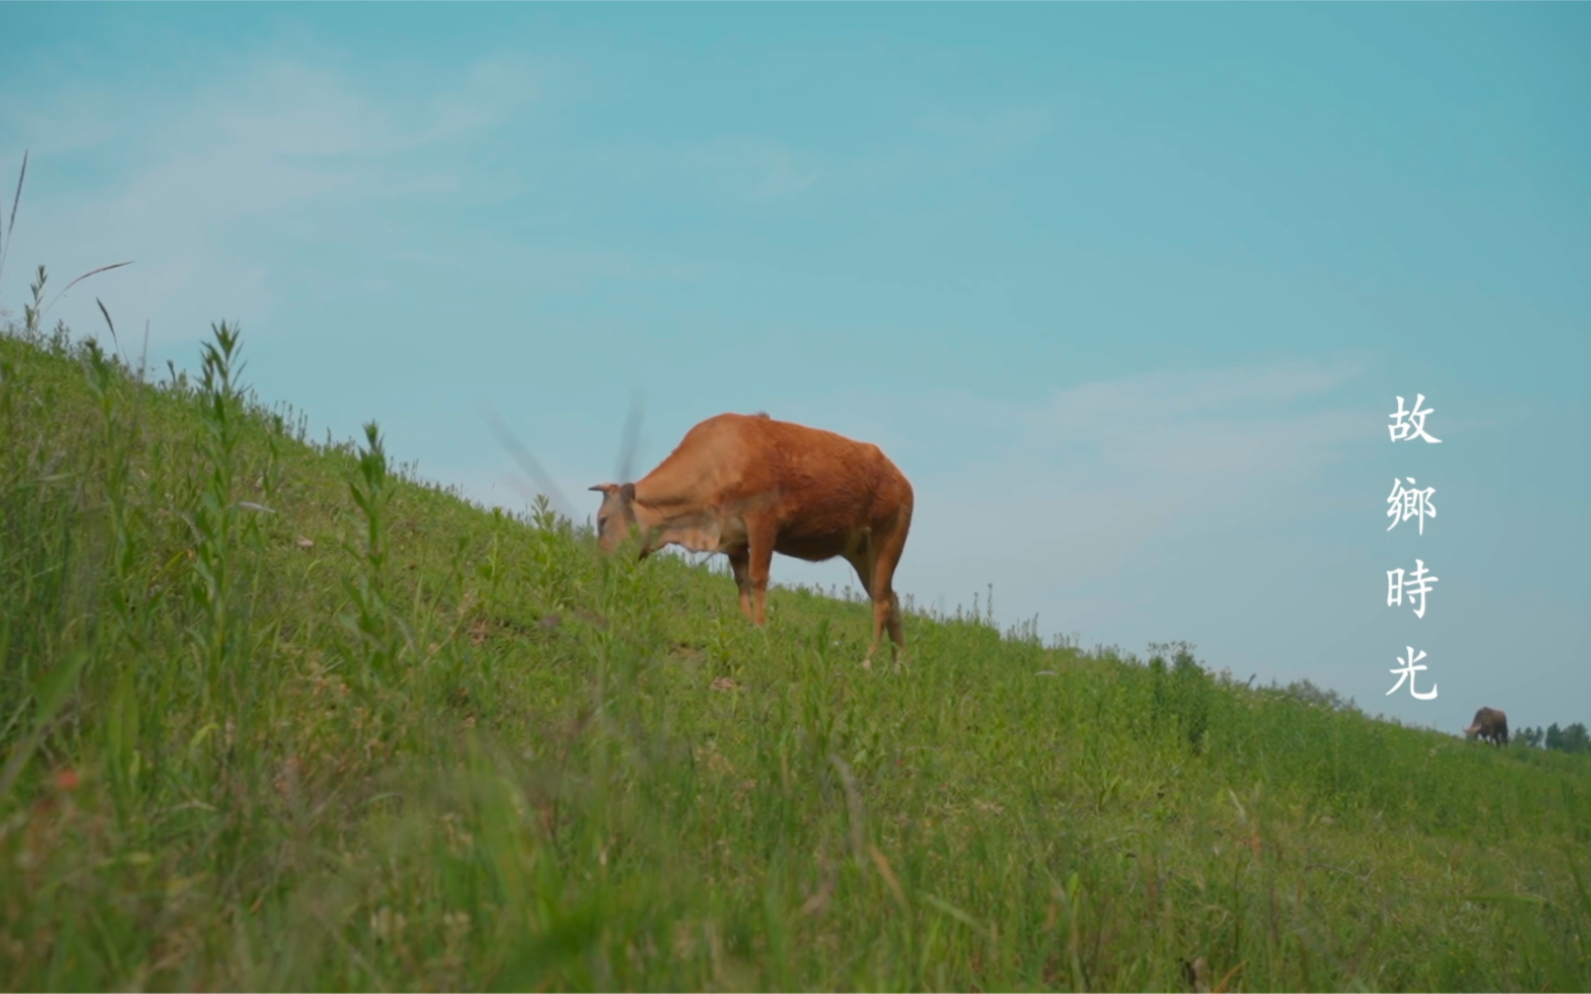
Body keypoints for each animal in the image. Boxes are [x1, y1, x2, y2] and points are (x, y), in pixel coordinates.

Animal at [591, 410, 916, 667]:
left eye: (602, 520)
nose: (601, 563)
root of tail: (901, 479)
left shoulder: (762, 520)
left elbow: (759, 578)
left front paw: (759, 630)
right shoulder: (734, 540)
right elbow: (742, 581)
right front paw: (745, 626)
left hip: (889, 538)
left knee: (881, 602)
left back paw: (869, 661)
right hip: (861, 552)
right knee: (890, 598)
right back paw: (900, 666)